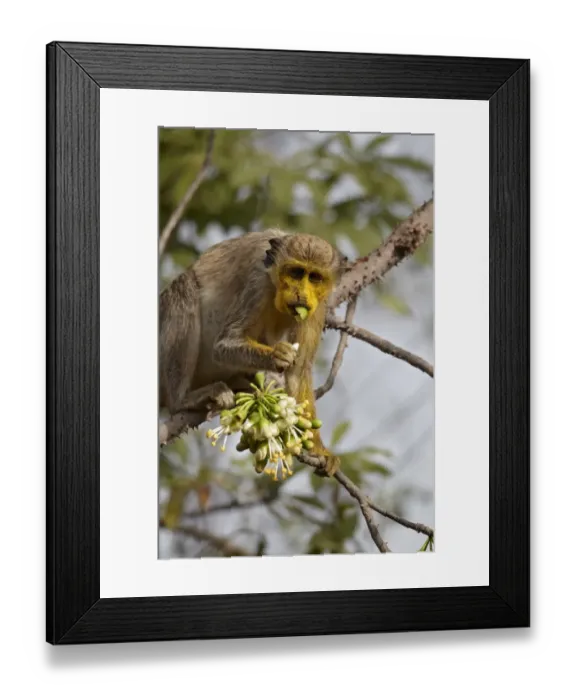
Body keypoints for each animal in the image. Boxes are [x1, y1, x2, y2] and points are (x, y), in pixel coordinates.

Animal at [159, 229, 348, 476]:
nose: (301, 294)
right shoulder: (258, 283)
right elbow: (223, 345)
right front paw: (275, 356)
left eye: (315, 278)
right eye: (296, 273)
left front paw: (317, 450)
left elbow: (298, 371)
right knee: (183, 287)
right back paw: (182, 400)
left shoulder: (317, 307)